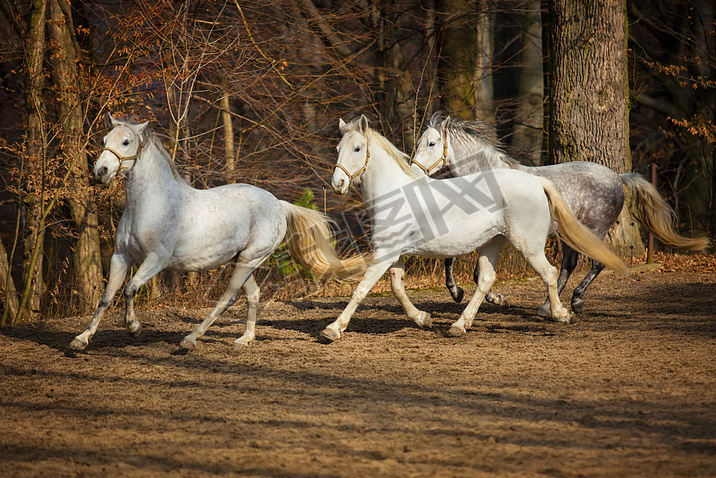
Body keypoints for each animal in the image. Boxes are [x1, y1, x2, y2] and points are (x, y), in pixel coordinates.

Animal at [70, 116, 366, 352]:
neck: (150, 204)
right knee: (253, 294)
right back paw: (244, 340)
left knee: (228, 298)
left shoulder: (157, 260)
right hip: (243, 261)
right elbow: (106, 297)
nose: (100, 172)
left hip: (248, 260)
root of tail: (278, 204)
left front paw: (134, 327)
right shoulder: (121, 256)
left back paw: (190, 340)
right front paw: (80, 340)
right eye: (105, 139)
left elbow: (130, 289)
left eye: (126, 141)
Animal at [320, 116, 628, 340]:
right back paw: (459, 325)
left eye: (357, 149)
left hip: (529, 245)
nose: (338, 184)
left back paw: (559, 312)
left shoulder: (385, 252)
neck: (397, 193)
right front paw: (423, 319)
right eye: (337, 149)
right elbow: (397, 288)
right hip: (493, 242)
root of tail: (537, 182)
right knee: (487, 280)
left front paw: (333, 330)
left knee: (553, 272)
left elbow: (361, 289)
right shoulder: (395, 253)